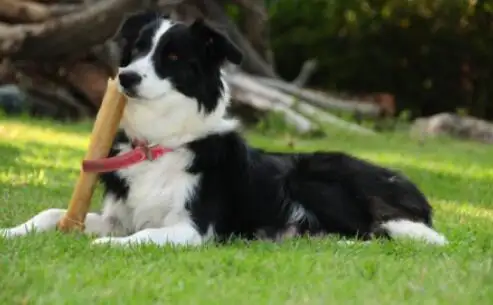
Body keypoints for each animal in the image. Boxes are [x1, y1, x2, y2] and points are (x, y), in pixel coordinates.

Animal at [0, 11, 446, 247]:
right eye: (137, 50)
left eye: (172, 57)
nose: (126, 77)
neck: (161, 143)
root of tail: (413, 191)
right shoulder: (122, 215)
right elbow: (53, 213)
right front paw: (13, 230)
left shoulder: (193, 229)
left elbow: (140, 237)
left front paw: (106, 246)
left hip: (309, 178)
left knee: (369, 232)